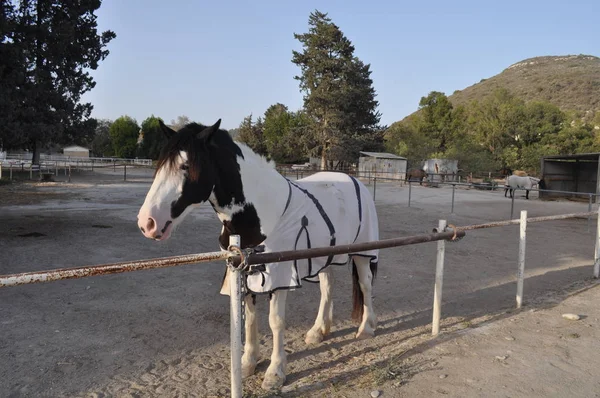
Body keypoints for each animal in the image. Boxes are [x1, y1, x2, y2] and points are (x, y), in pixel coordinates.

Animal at [137, 119, 380, 390]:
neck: (260, 214)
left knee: (365, 284)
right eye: (159, 165)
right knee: (327, 287)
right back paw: (319, 330)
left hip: (363, 252)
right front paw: (247, 363)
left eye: (186, 166)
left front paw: (275, 373)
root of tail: (353, 180)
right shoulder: (246, 271)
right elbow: (250, 319)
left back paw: (366, 328)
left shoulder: (281, 276)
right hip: (325, 254)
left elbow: (275, 321)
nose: (147, 222)